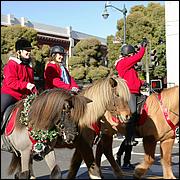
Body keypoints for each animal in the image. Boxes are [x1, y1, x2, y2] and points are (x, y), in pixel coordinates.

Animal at [3, 76, 131, 179]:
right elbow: (93, 169)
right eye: (117, 95)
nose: (127, 116)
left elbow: (74, 168)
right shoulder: (84, 146)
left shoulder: (81, 146)